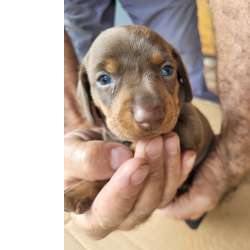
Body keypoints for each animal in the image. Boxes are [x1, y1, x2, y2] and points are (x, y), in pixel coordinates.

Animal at [63, 24, 214, 227]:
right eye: (104, 79)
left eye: (167, 70)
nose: (150, 116)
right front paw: (82, 188)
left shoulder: (190, 127)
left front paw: (80, 189)